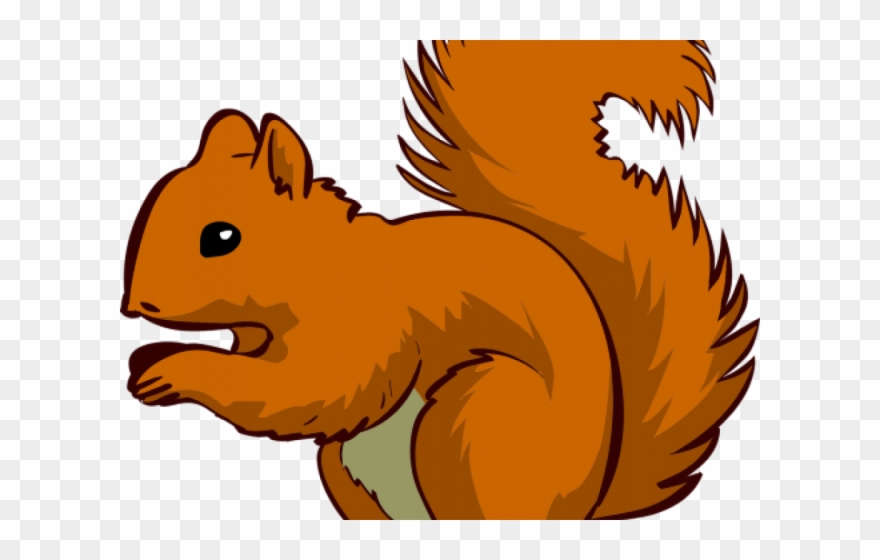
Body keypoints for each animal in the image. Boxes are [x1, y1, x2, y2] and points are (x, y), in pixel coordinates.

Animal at [121, 40, 758, 520]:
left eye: (221, 237)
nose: (134, 305)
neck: (324, 264)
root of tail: (583, 506)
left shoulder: (366, 328)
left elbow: (306, 391)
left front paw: (170, 368)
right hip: (350, 471)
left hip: (476, 422)